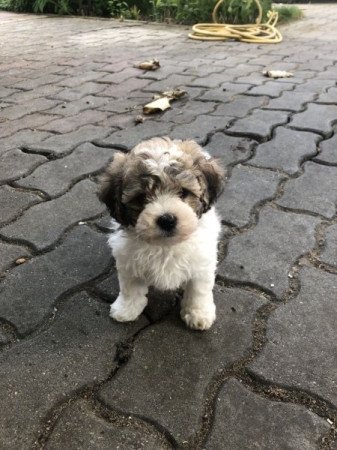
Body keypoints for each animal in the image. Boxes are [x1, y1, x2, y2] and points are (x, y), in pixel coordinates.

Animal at [98, 137, 223, 330]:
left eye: (183, 192)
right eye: (141, 198)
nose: (167, 220)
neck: (165, 245)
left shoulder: (202, 263)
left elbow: (198, 290)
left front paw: (198, 314)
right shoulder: (128, 262)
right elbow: (130, 288)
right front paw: (126, 309)